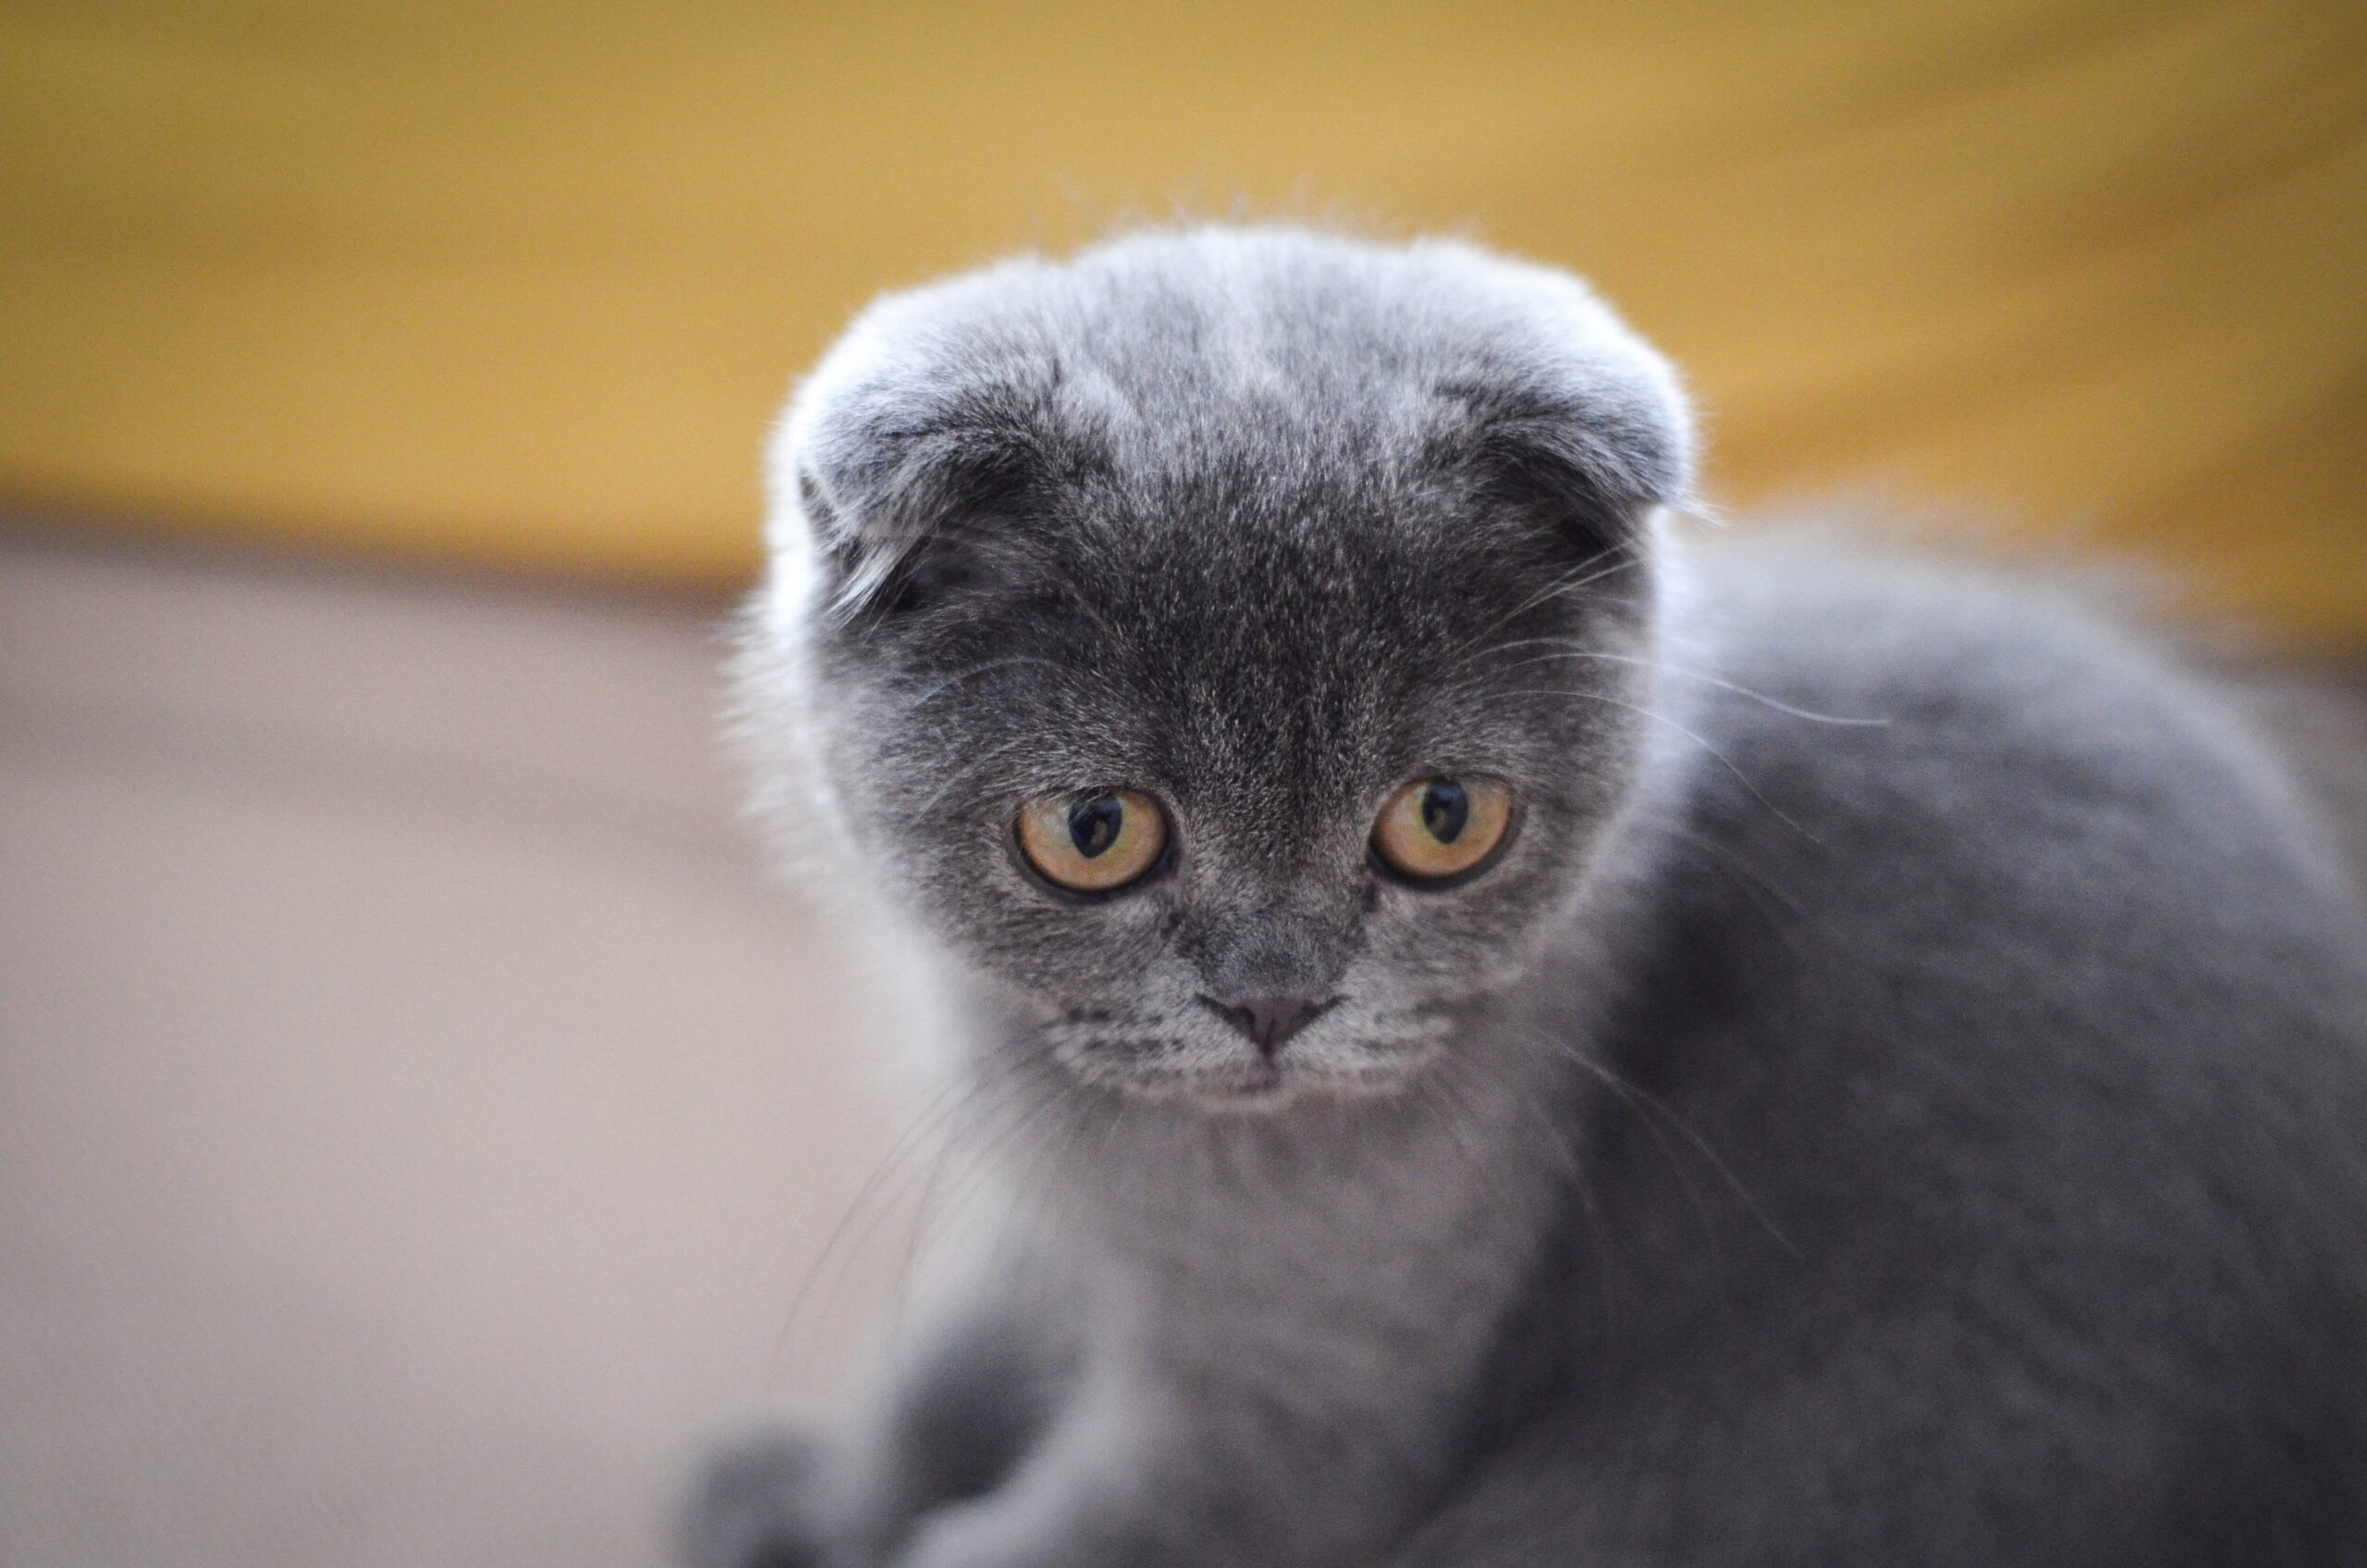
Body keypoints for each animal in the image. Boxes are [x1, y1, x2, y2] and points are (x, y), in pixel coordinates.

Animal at [686, 224, 2367, 1568]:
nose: (1276, 1003)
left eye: (1445, 821)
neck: (1145, 1163)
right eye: (1093, 831)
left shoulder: (1300, 1407)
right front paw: (809, 1493)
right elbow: (963, 1345)